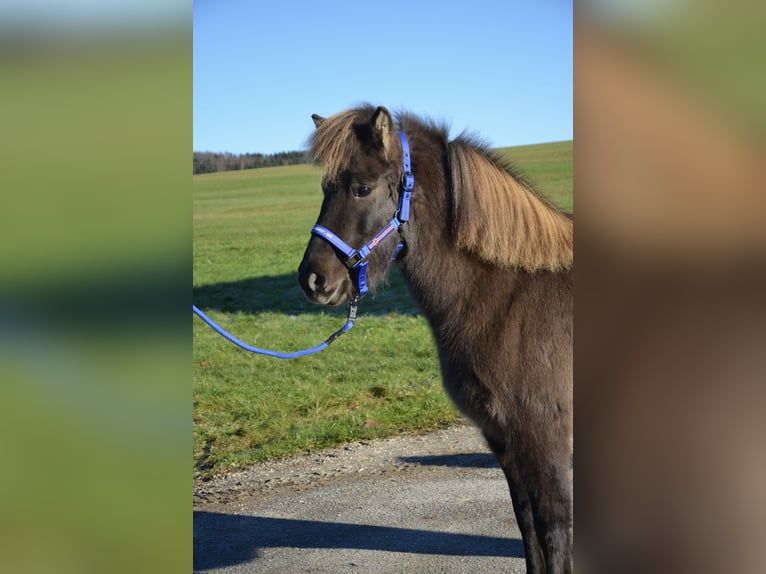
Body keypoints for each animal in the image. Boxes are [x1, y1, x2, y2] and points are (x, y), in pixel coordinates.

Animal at [297, 104, 573, 574]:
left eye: (361, 188)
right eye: (324, 188)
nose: (313, 279)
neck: (512, 297)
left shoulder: (545, 439)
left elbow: (552, 530)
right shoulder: (503, 439)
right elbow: (528, 527)